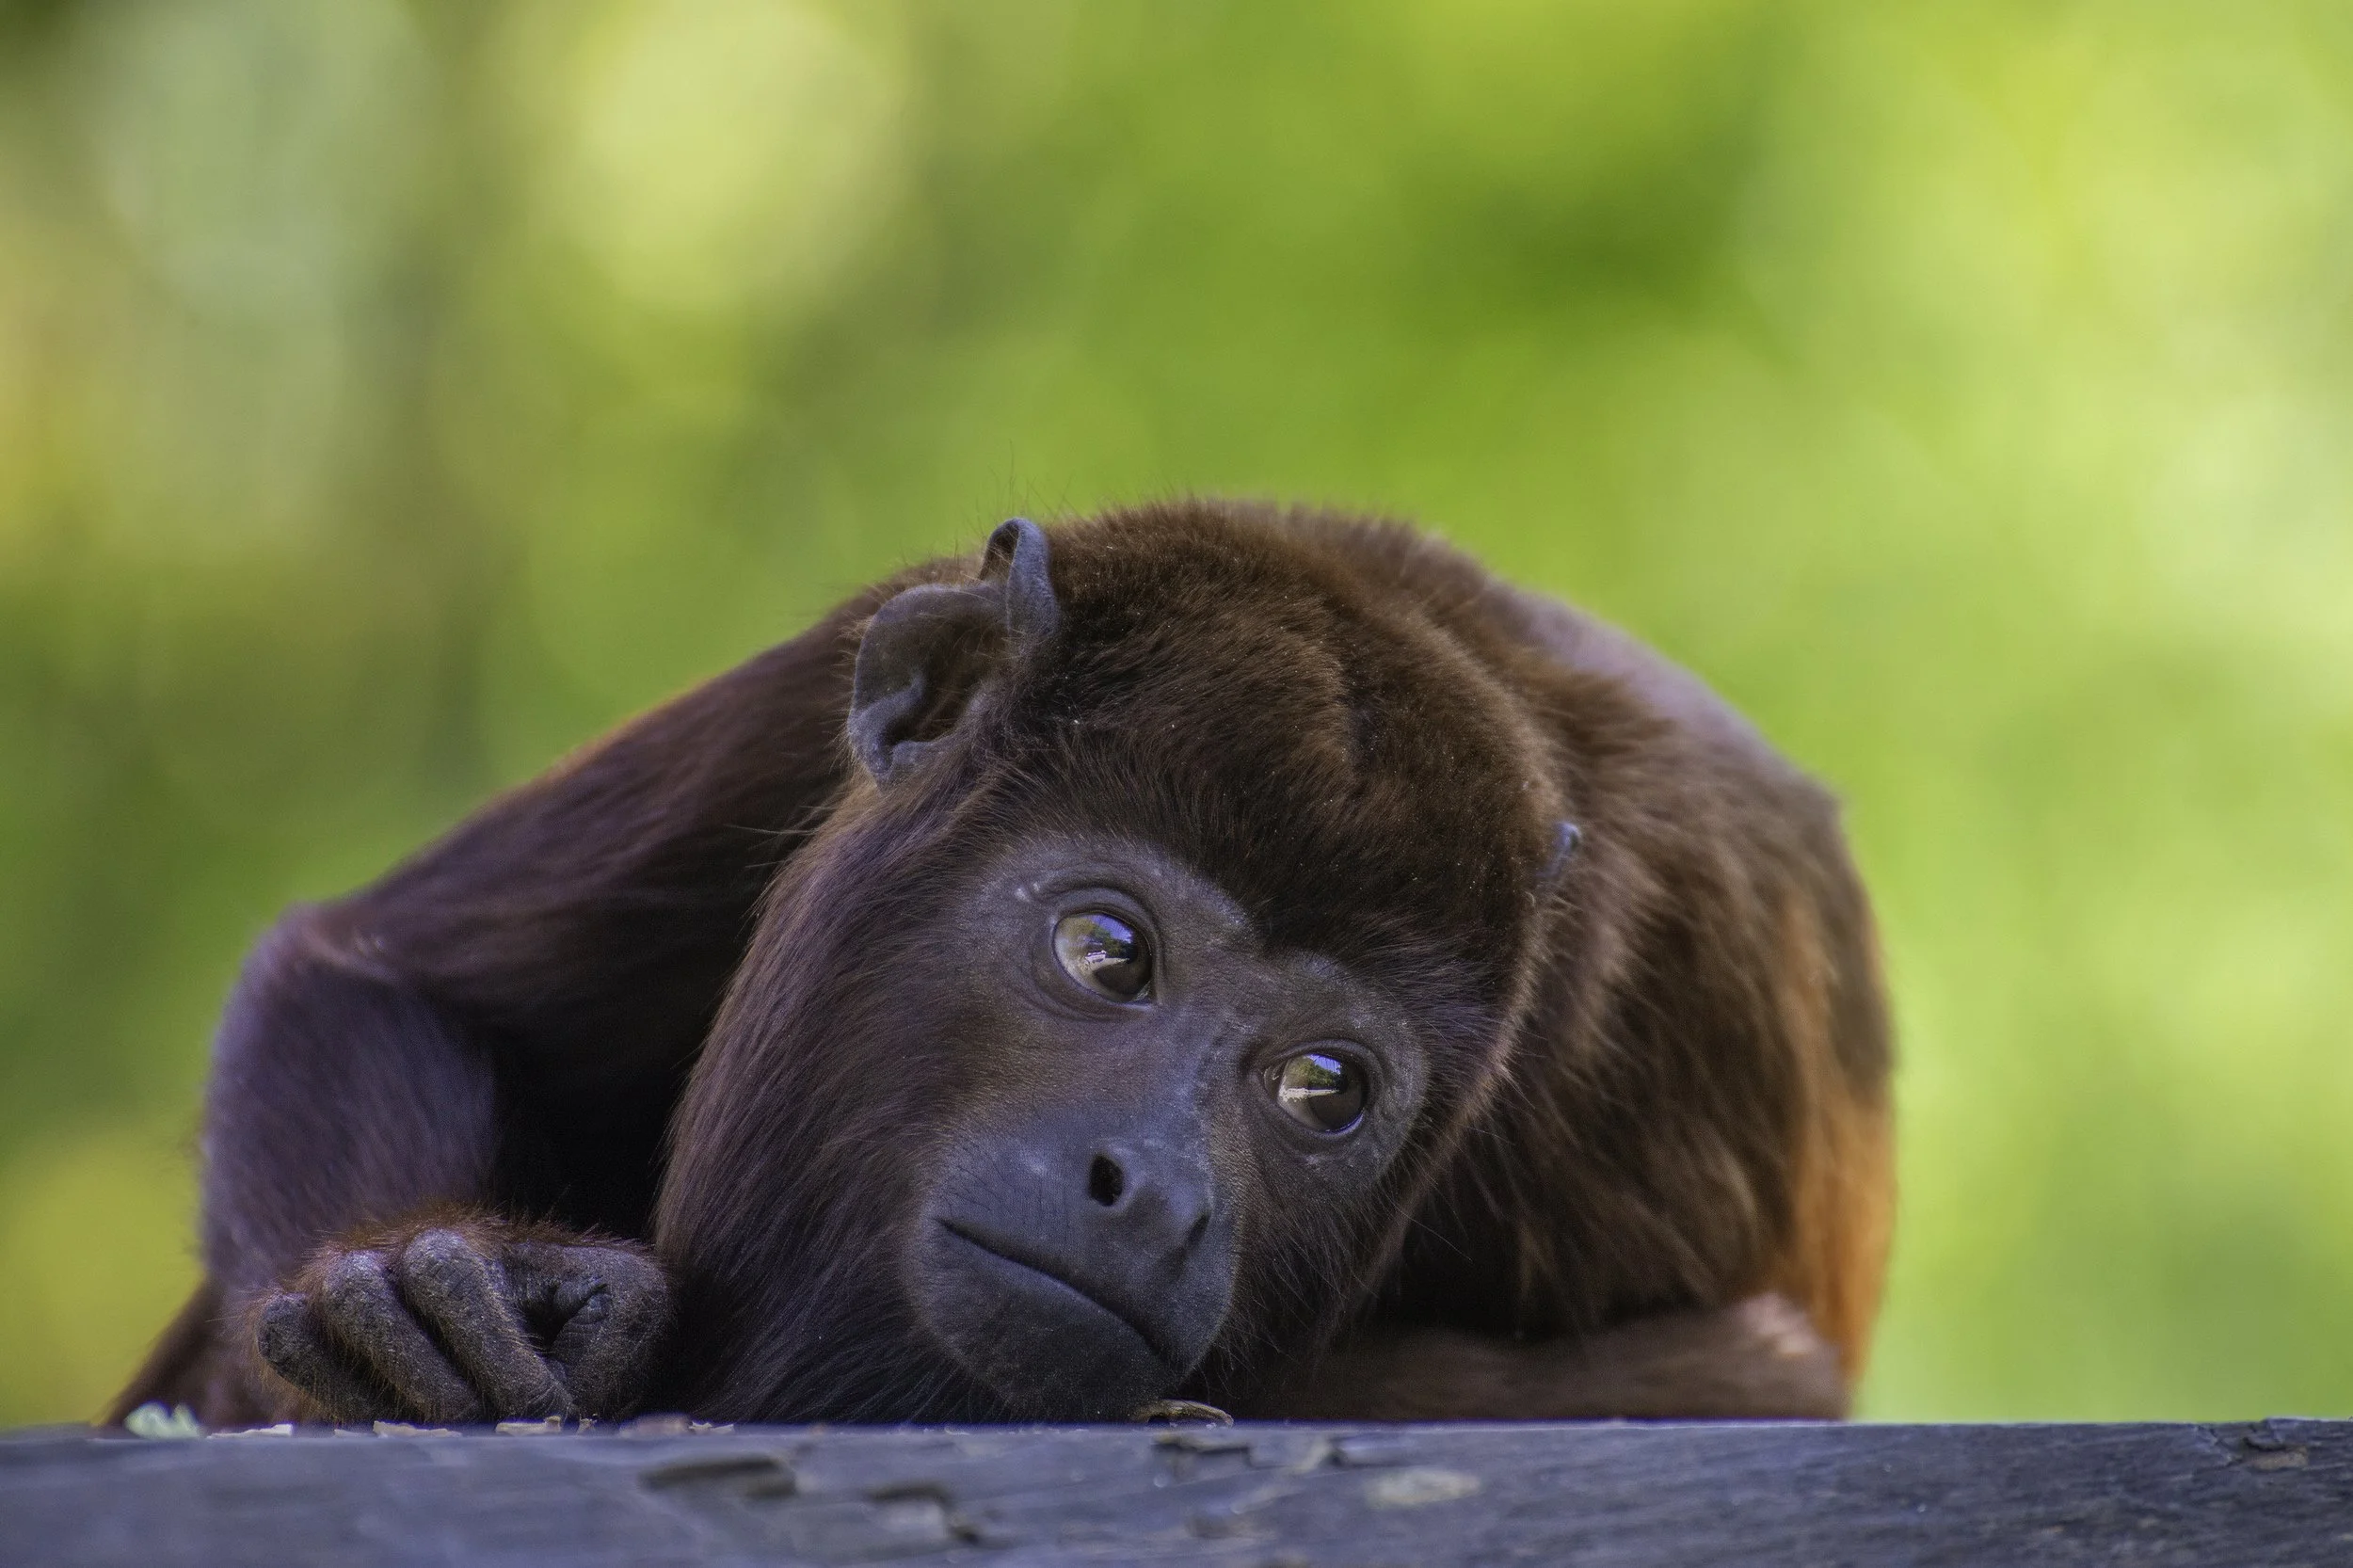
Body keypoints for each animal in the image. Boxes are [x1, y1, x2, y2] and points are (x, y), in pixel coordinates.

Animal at [110, 500, 1891, 1429]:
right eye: (1108, 951)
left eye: (1327, 1088)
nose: (1155, 1192)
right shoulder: (806, 709)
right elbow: (385, 969)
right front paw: (407, 1280)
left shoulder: (1628, 1029)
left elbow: (1746, 1382)